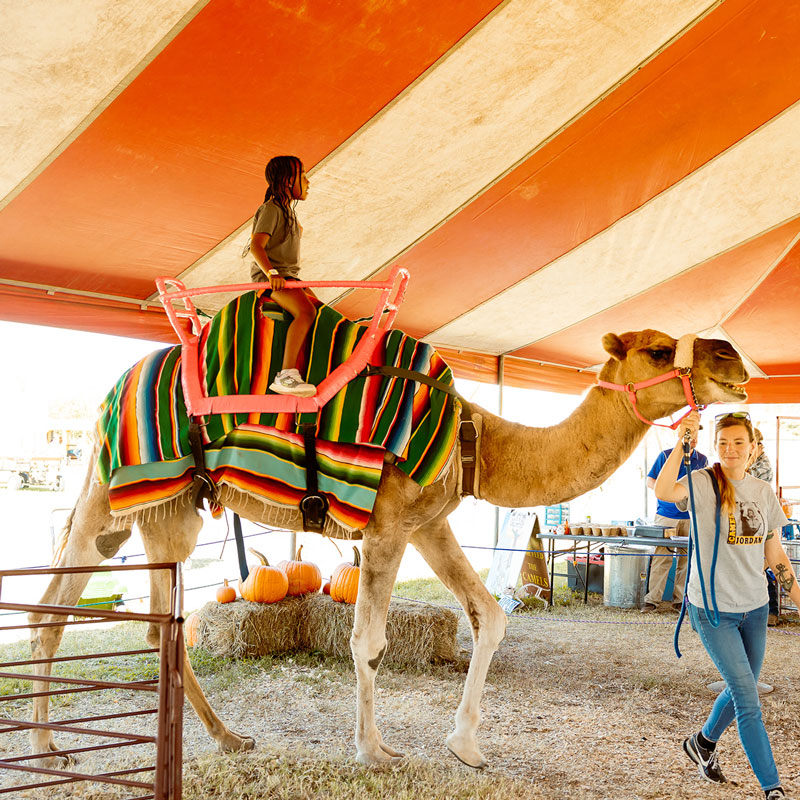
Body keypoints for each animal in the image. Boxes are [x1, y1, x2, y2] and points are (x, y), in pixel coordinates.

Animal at [29, 329, 747, 769]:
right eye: (658, 350)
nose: (733, 359)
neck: (477, 436)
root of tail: (109, 393)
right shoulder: (388, 525)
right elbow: (368, 643)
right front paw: (374, 751)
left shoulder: (428, 523)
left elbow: (490, 616)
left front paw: (465, 744)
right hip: (109, 494)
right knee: (52, 614)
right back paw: (46, 750)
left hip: (168, 512)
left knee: (159, 626)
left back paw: (228, 738)